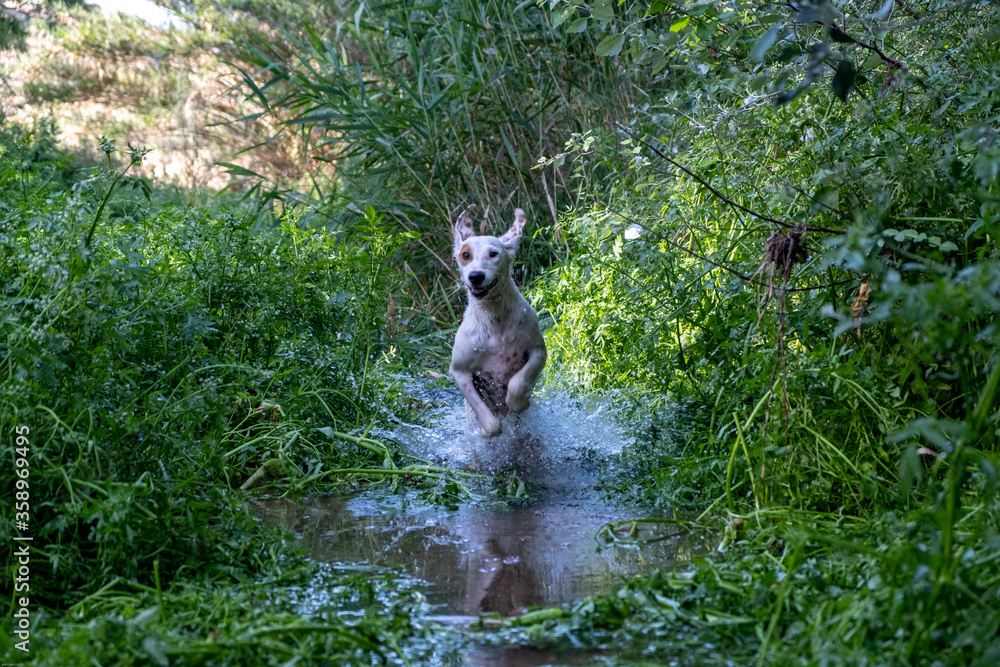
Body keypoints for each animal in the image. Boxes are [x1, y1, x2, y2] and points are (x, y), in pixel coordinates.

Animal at [452, 207, 552, 438]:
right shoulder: (459, 371)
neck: (494, 319)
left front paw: (519, 403)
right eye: (465, 255)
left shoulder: (538, 351)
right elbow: (492, 424)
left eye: (493, 253)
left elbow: (517, 384)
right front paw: (484, 430)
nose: (476, 276)